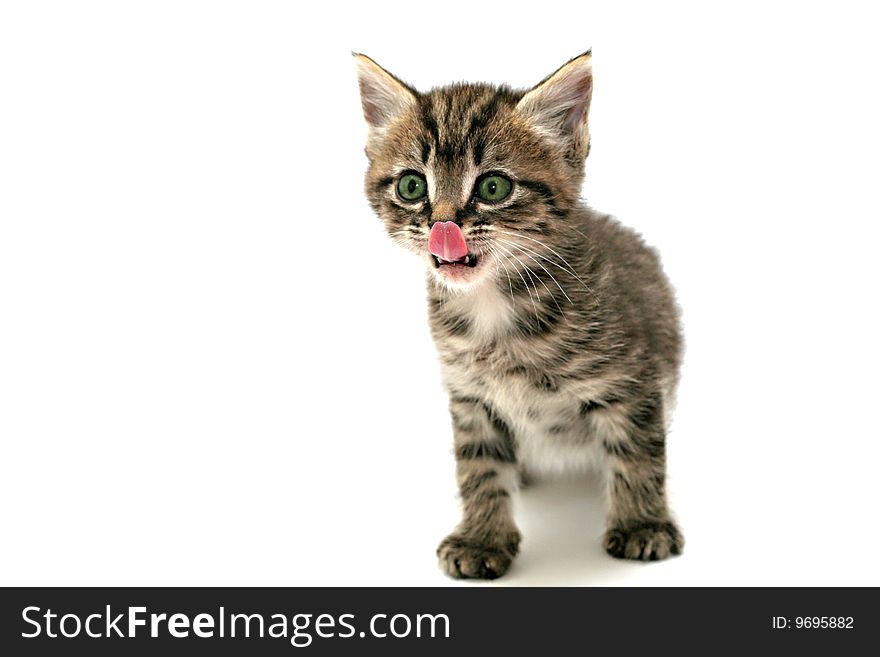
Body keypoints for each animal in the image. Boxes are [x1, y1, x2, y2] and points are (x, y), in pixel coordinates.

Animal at [354, 52, 684, 580]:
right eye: (411, 186)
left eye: (493, 186)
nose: (442, 224)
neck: (493, 305)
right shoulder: (470, 396)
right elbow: (480, 468)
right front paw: (482, 537)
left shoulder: (631, 380)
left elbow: (637, 452)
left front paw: (641, 524)